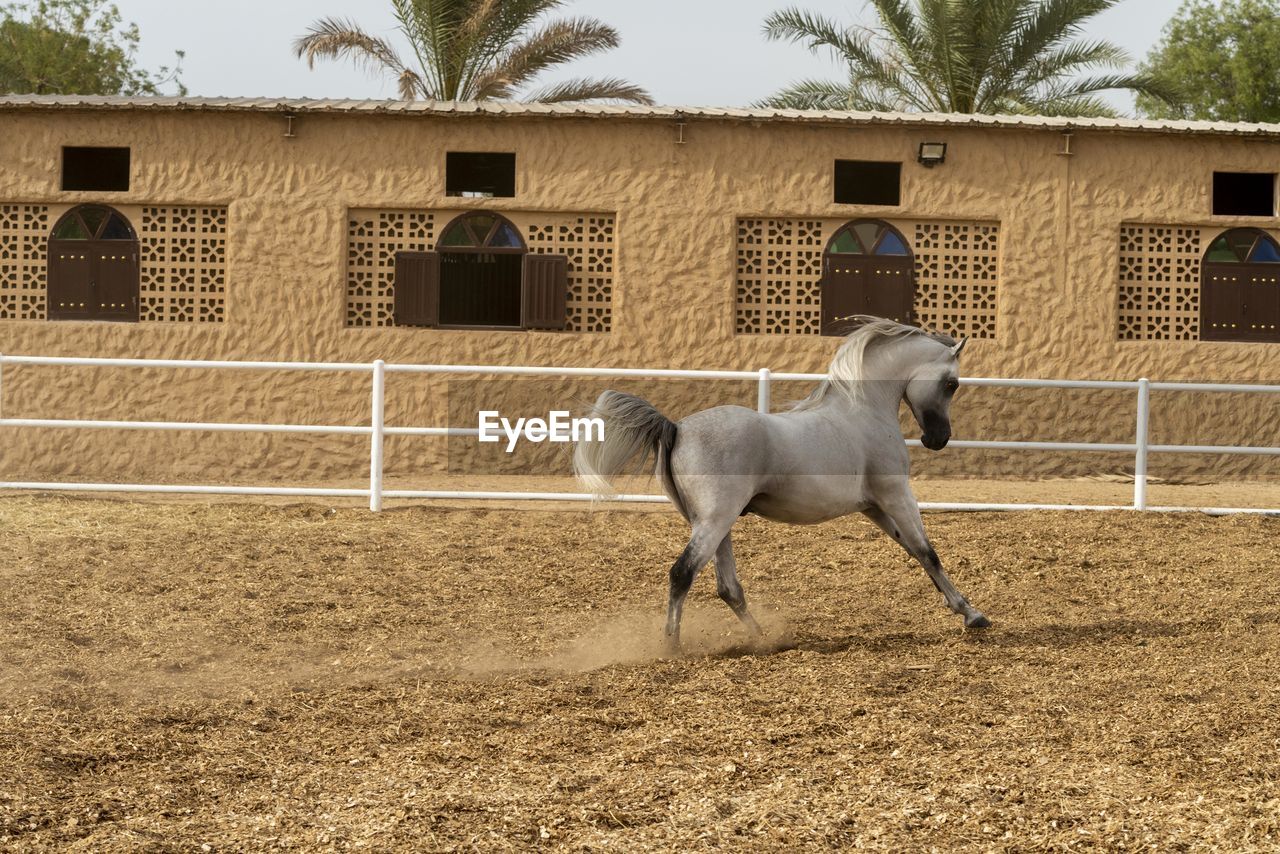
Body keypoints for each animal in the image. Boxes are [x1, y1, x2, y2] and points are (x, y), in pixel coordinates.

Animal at [573, 317, 988, 650]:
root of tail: (677, 428)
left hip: (716, 523)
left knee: (728, 588)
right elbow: (928, 551)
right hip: (714, 522)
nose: (938, 439)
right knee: (682, 573)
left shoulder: (873, 507)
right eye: (952, 383)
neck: (862, 411)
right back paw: (672, 646)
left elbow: (915, 551)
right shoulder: (896, 494)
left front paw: (965, 611)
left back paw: (764, 639)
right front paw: (973, 615)